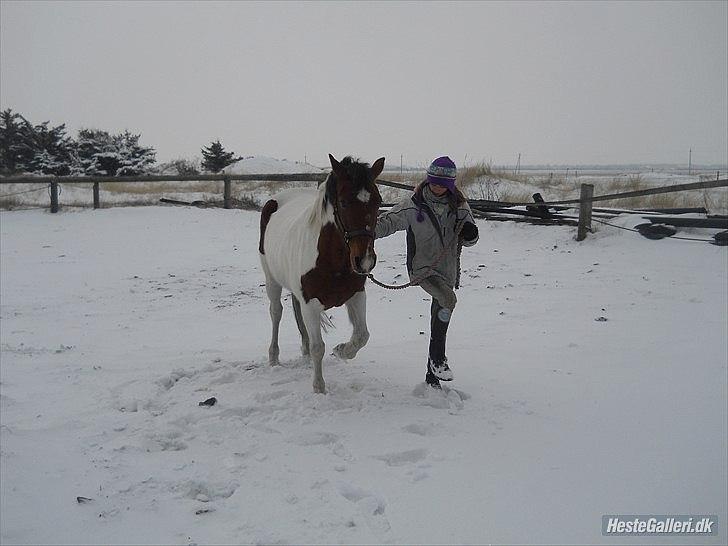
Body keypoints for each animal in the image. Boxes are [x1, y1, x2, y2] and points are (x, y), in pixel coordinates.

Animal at [258, 153, 384, 392]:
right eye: (343, 202)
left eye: (378, 201)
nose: (364, 260)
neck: (331, 260)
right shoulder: (310, 303)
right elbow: (319, 347)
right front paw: (319, 388)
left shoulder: (356, 295)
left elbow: (362, 335)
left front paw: (342, 350)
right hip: (271, 280)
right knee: (275, 312)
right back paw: (273, 358)